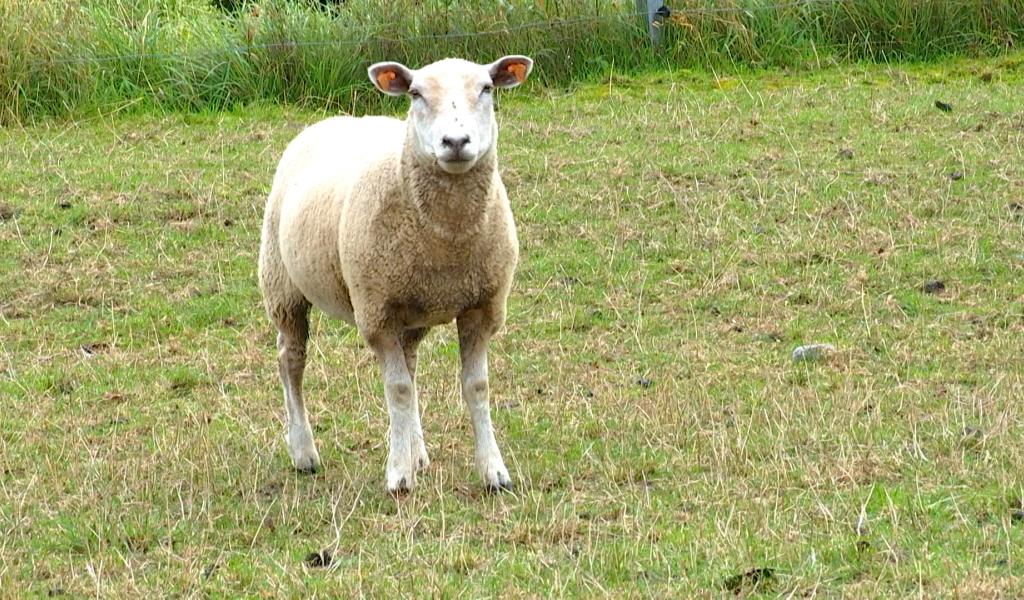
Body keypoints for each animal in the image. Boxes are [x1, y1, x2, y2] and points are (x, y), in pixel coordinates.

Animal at [258, 54, 536, 491]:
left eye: (486, 88)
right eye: (416, 94)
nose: (455, 142)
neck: (447, 241)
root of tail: (334, 119)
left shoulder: (483, 308)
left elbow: (476, 387)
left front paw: (493, 471)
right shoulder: (376, 313)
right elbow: (398, 389)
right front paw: (399, 475)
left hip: (412, 308)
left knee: (410, 360)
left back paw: (416, 450)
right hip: (283, 286)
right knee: (291, 361)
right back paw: (304, 451)